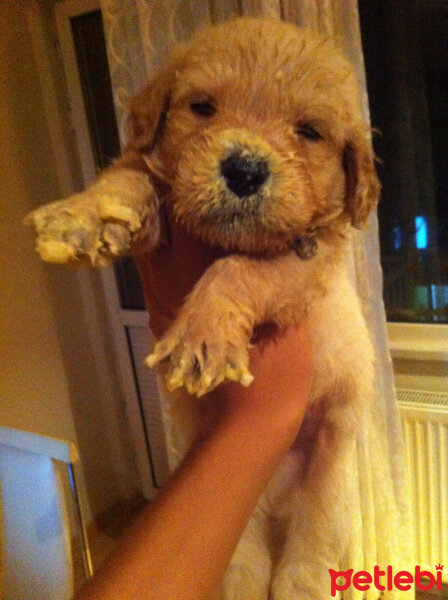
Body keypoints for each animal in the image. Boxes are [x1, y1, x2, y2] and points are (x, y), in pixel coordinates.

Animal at [26, 16, 380, 596]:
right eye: (203, 108)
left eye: (309, 132)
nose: (244, 169)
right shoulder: (160, 209)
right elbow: (129, 175)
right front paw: (80, 216)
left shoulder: (306, 260)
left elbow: (241, 268)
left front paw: (202, 333)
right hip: (240, 544)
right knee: (245, 573)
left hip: (326, 494)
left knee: (307, 558)